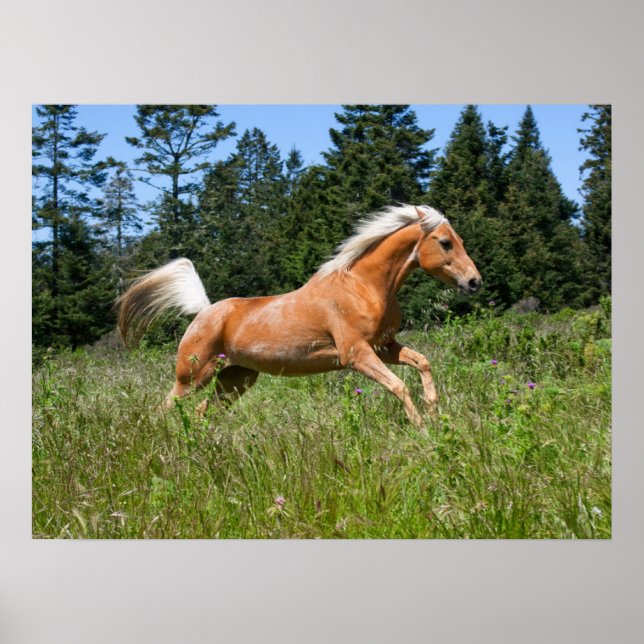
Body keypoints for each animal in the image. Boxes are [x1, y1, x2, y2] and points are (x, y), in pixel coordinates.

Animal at [117, 204, 481, 429]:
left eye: (460, 240)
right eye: (445, 242)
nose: (474, 282)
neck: (363, 287)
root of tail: (204, 310)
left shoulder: (385, 347)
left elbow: (422, 363)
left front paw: (434, 412)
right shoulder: (356, 354)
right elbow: (399, 386)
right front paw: (422, 429)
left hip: (235, 380)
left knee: (202, 411)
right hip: (192, 377)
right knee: (167, 408)